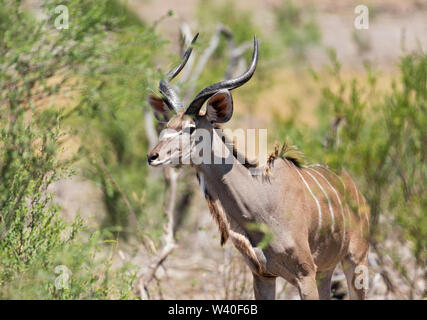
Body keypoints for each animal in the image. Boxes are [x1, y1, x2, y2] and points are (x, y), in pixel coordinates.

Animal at [145, 33, 370, 298]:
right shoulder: (263, 275)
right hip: (325, 271)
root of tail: (354, 190)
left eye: (190, 128)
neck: (262, 204)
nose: (153, 156)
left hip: (355, 261)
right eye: (167, 124)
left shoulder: (305, 273)